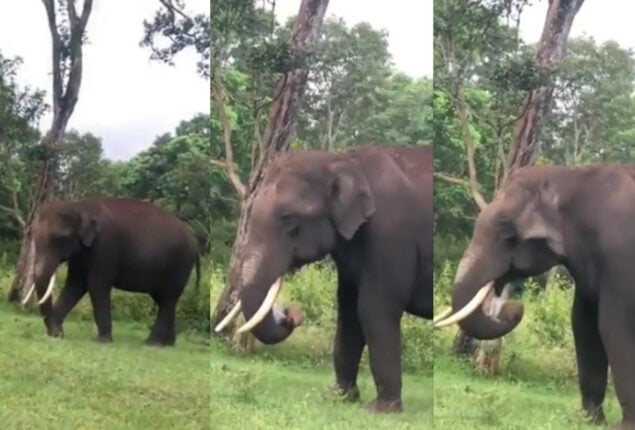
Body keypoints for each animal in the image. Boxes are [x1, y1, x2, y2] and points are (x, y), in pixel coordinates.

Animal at [216, 144, 434, 414]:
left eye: (289, 220)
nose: (290, 314)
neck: (342, 160)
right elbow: (349, 311)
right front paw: (338, 397)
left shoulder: (391, 234)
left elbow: (374, 309)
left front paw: (380, 409)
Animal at [434, 165, 635, 430]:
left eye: (507, 230)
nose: (515, 306)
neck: (571, 176)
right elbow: (584, 325)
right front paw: (589, 421)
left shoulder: (621, 257)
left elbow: (614, 325)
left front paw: (626, 426)